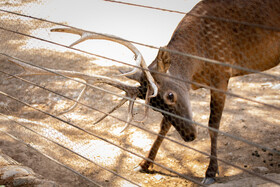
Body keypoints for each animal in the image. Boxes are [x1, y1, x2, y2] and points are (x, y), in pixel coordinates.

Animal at [7, 0, 278, 184]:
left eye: (170, 95)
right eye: (153, 105)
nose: (190, 136)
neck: (197, 64)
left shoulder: (222, 73)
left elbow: (214, 125)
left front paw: (210, 173)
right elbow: (164, 127)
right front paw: (145, 163)